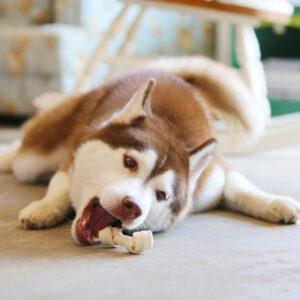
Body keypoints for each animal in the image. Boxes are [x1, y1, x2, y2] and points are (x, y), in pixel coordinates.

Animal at [1, 57, 298, 245]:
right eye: (130, 162)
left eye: (161, 195)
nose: (132, 207)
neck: (172, 129)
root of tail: (174, 75)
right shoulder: (70, 161)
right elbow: (61, 186)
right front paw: (45, 206)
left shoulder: (212, 179)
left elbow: (243, 188)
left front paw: (275, 201)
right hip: (35, 157)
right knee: (21, 152)